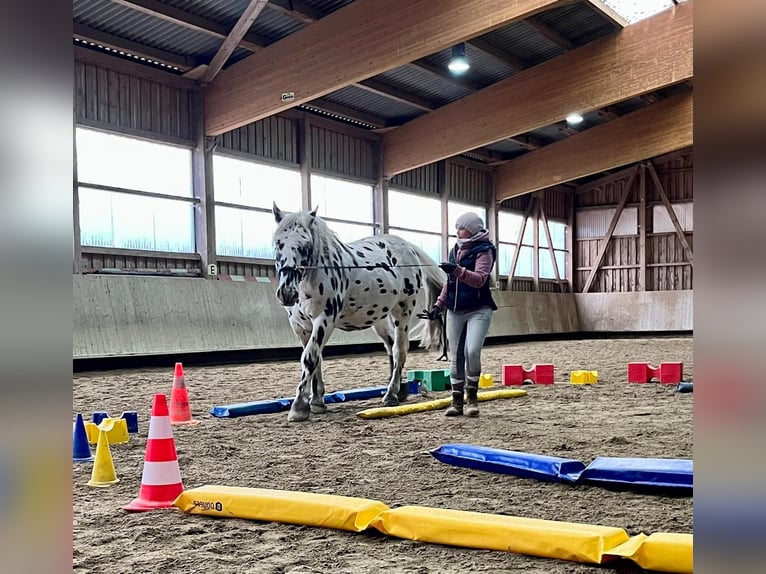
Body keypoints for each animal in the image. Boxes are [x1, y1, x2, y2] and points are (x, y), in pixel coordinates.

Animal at [272, 204, 448, 424]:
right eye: (278, 243)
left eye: (305, 245)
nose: (287, 293)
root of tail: (407, 246)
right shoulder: (301, 326)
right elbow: (315, 359)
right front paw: (317, 402)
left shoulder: (324, 320)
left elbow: (310, 358)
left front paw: (299, 407)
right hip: (380, 318)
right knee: (390, 347)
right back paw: (399, 391)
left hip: (402, 312)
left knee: (399, 349)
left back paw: (390, 395)